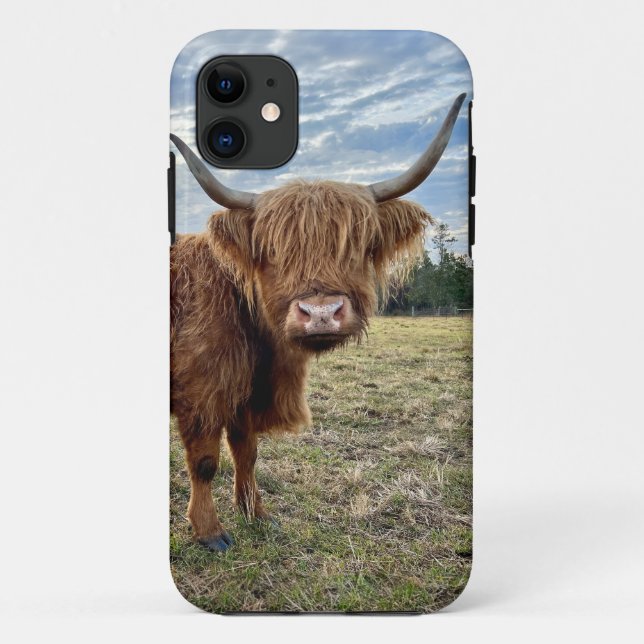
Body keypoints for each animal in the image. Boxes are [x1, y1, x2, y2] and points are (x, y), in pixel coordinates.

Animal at [170, 93, 466, 551]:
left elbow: (247, 452)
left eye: (357, 244)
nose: (322, 313)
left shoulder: (246, 393)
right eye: (272, 250)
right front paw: (210, 532)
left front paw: (257, 515)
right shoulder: (201, 392)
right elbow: (204, 461)